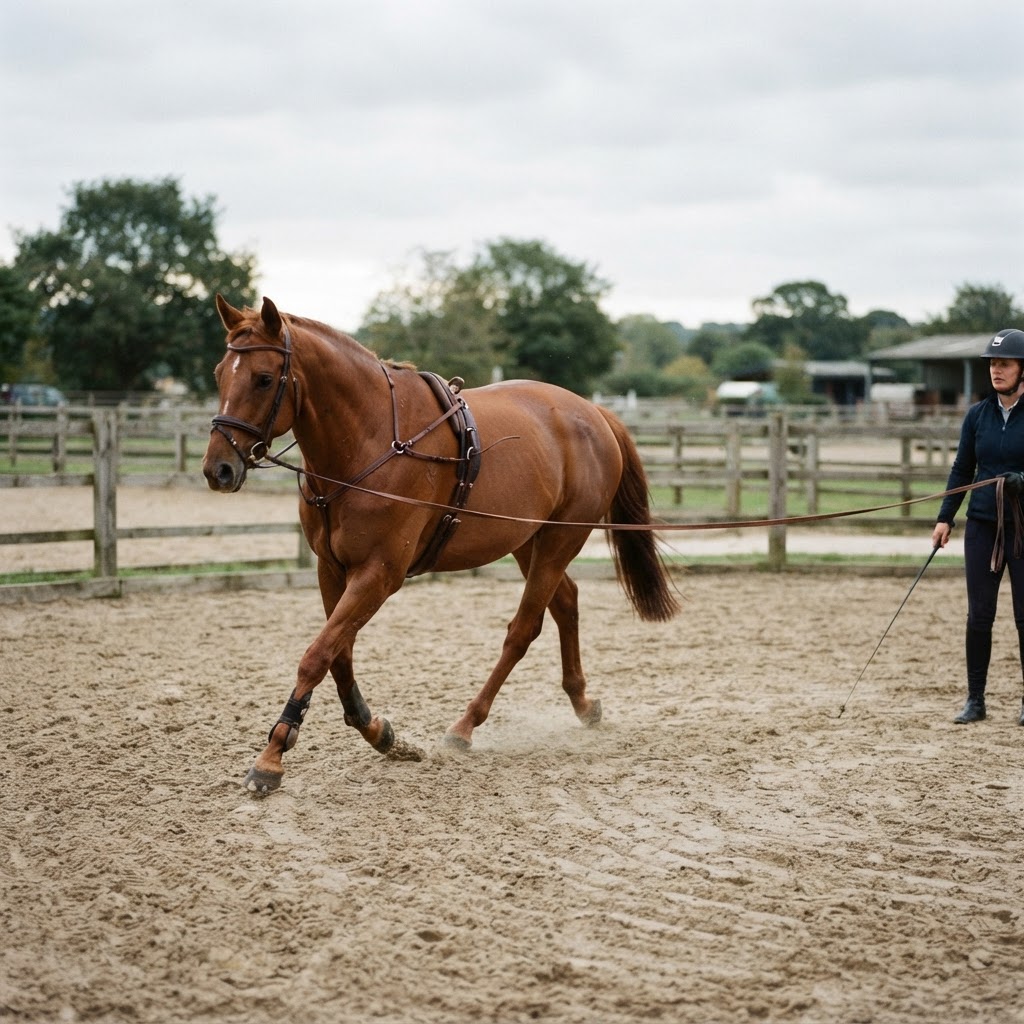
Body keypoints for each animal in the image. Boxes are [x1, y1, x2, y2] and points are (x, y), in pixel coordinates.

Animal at [202, 295, 679, 793]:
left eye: (263, 378)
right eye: (219, 373)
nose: (218, 468)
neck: (371, 440)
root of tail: (592, 412)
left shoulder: (379, 575)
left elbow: (317, 655)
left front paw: (271, 758)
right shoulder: (331, 569)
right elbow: (339, 655)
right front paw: (380, 733)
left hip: (560, 539)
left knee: (523, 629)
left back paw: (466, 725)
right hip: (527, 541)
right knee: (565, 602)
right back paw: (582, 703)